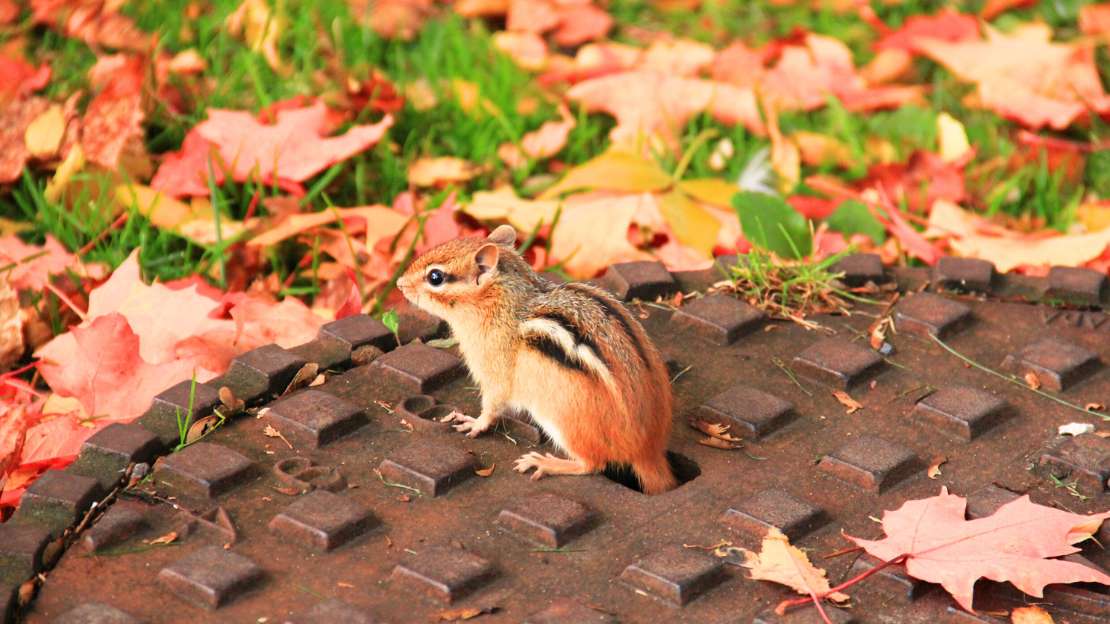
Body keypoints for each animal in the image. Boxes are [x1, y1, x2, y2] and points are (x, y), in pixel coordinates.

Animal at [397, 225, 677, 494]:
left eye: (435, 277)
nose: (399, 284)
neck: (502, 304)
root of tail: (646, 450)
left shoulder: (494, 371)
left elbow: (492, 406)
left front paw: (475, 423)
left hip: (564, 421)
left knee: (591, 464)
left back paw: (545, 462)